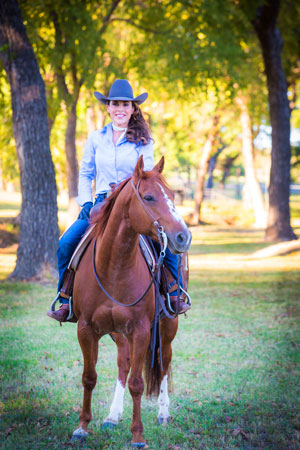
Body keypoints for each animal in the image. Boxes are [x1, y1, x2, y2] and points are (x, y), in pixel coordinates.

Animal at [71, 155, 191, 446]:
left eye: (172, 195)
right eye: (148, 197)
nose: (183, 237)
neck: (113, 266)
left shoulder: (141, 329)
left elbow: (138, 383)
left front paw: (138, 435)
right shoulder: (86, 329)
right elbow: (89, 377)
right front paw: (82, 427)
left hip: (167, 326)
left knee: (165, 361)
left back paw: (163, 413)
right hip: (118, 332)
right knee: (123, 363)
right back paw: (113, 416)